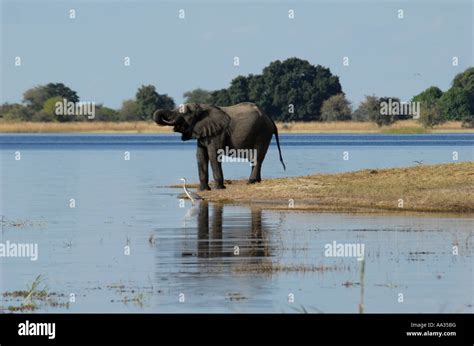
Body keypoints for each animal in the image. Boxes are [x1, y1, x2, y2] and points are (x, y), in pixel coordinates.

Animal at [154, 101, 286, 191]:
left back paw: (251, 182)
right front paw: (203, 190)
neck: (202, 108)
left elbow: (213, 155)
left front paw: (219, 188)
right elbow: (200, 156)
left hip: (263, 133)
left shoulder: (218, 132)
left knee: (257, 157)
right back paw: (256, 182)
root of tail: (270, 119)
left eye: (184, 112)